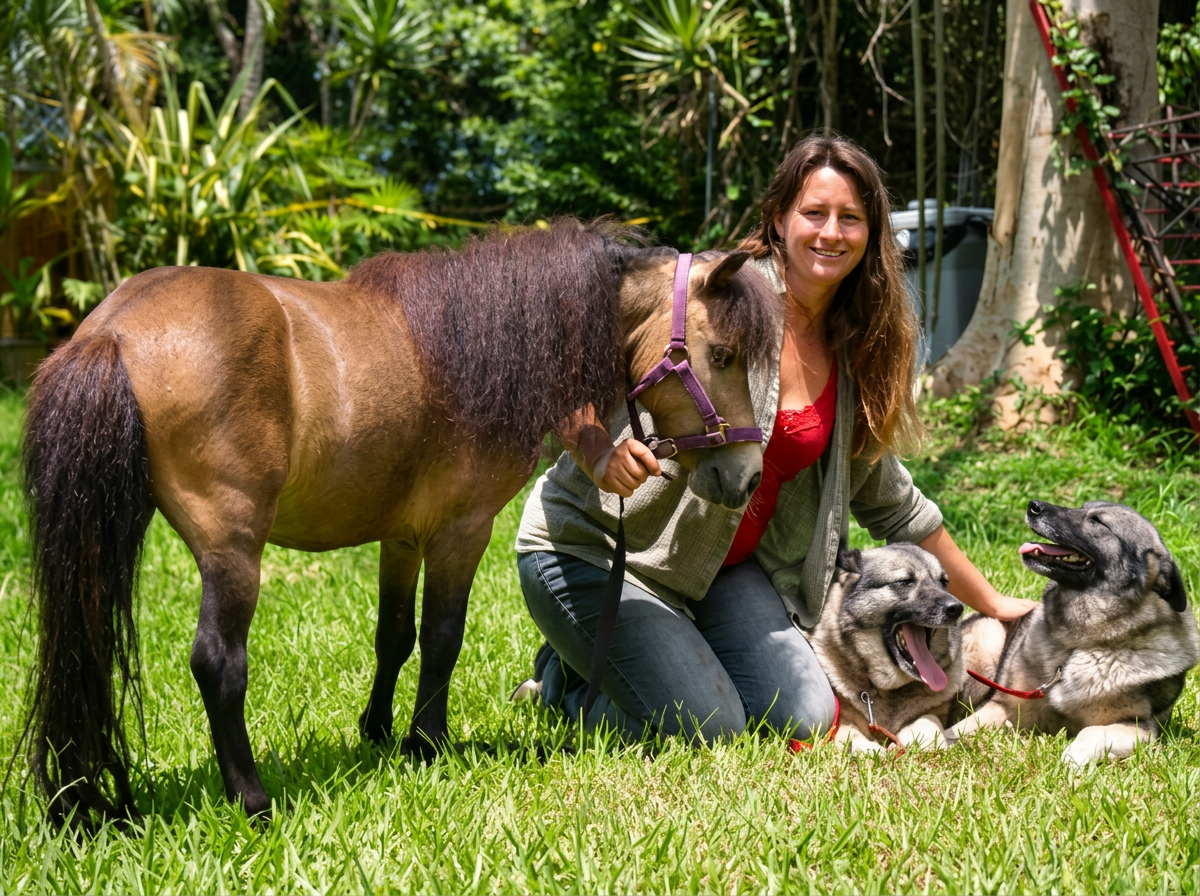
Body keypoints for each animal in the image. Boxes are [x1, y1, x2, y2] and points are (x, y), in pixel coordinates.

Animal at [20, 218, 779, 824]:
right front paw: (427, 742)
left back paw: (81, 799)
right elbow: (443, 637)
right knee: (217, 663)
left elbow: (394, 636)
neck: (480, 349)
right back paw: (253, 800)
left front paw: (379, 730)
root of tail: (113, 329)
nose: (744, 477)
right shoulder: (461, 532)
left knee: (82, 651)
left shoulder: (401, 535)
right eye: (722, 354)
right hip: (232, 549)